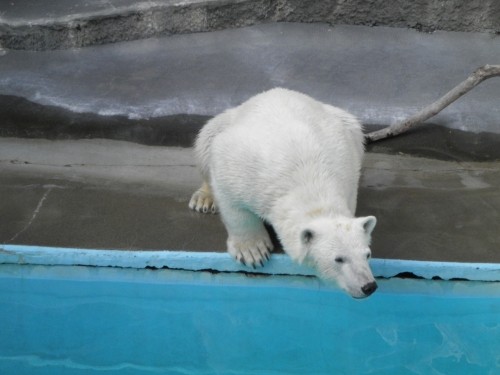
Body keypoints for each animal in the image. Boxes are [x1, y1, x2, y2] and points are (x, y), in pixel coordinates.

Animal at [189, 88, 376, 300]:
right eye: (338, 259)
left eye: (367, 254)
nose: (368, 286)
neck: (309, 183)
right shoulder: (241, 166)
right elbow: (231, 199)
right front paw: (252, 251)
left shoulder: (348, 168)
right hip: (225, 121)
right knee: (206, 139)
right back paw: (204, 198)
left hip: (347, 125)